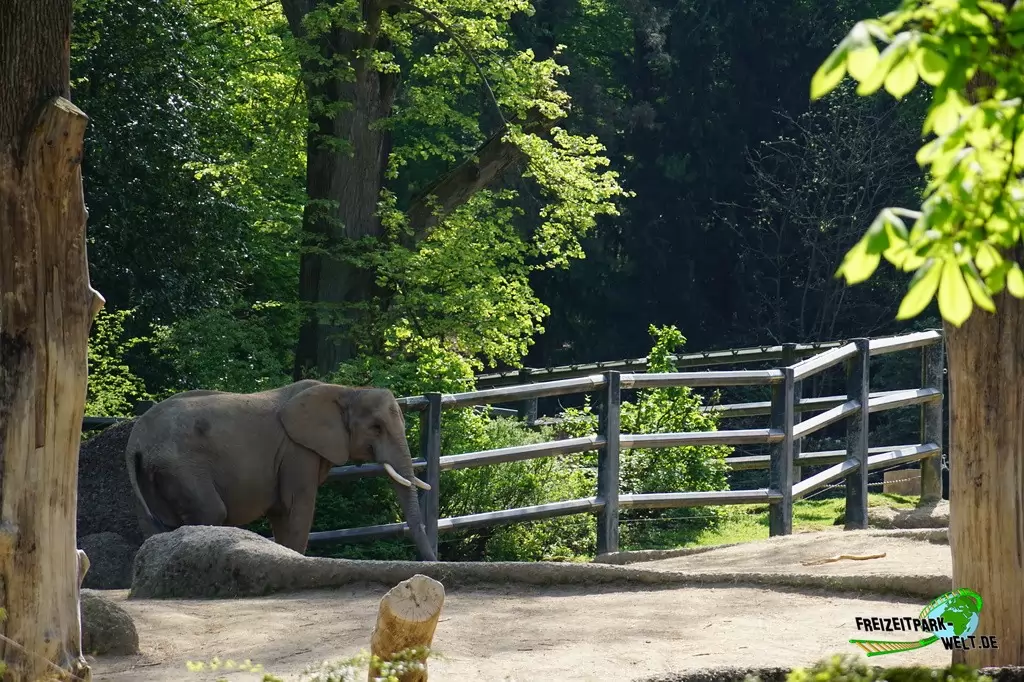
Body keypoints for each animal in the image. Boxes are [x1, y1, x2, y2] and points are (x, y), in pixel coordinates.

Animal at [124, 379, 436, 561]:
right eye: (376, 427)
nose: (434, 562)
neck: (347, 391)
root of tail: (135, 441)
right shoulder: (297, 452)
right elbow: (296, 507)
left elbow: (280, 512)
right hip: (182, 468)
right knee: (210, 513)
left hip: (153, 476)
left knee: (155, 528)